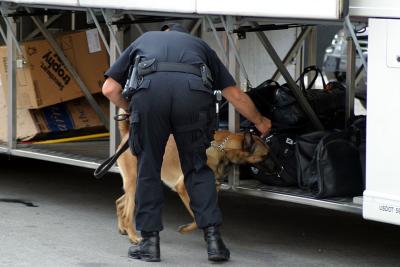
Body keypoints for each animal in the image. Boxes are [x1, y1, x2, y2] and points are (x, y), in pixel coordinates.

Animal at [116, 114, 272, 244]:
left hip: (136, 187)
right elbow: (198, 217)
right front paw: (188, 228)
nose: (277, 169)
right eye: (265, 156)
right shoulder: (183, 188)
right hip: (135, 184)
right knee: (127, 213)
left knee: (120, 203)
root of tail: (127, 136)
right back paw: (133, 236)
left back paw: (123, 229)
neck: (221, 148)